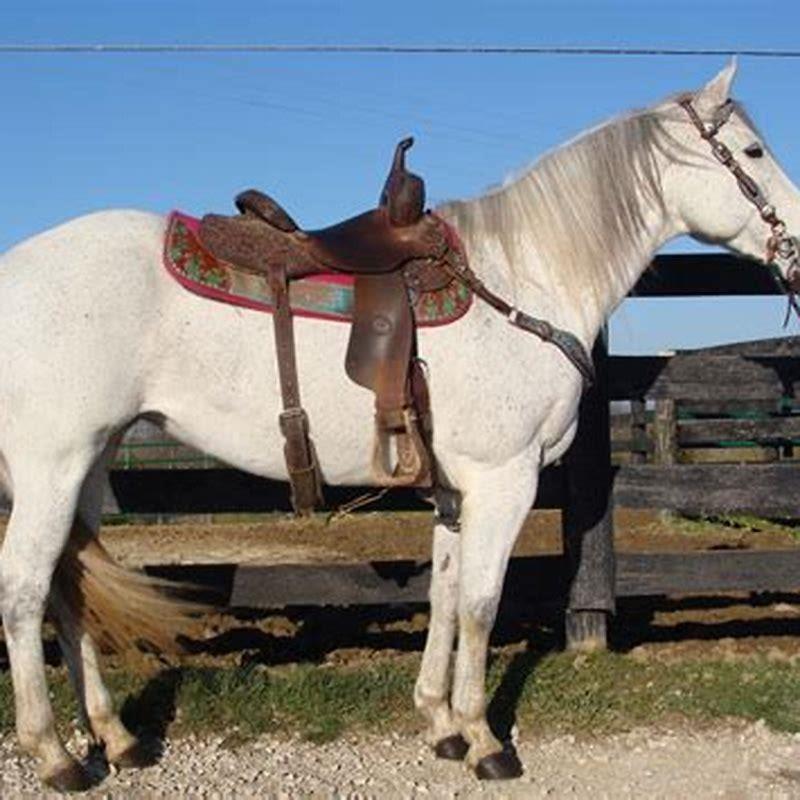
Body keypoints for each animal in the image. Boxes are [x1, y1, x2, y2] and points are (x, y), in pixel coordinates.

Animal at [1, 60, 799, 791]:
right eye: (754, 152)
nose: (796, 248)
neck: (521, 281)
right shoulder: (504, 480)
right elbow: (480, 606)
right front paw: (484, 740)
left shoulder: (454, 490)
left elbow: (444, 598)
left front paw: (440, 724)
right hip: (51, 466)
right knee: (25, 589)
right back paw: (55, 755)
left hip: (91, 462)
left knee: (70, 586)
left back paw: (116, 736)